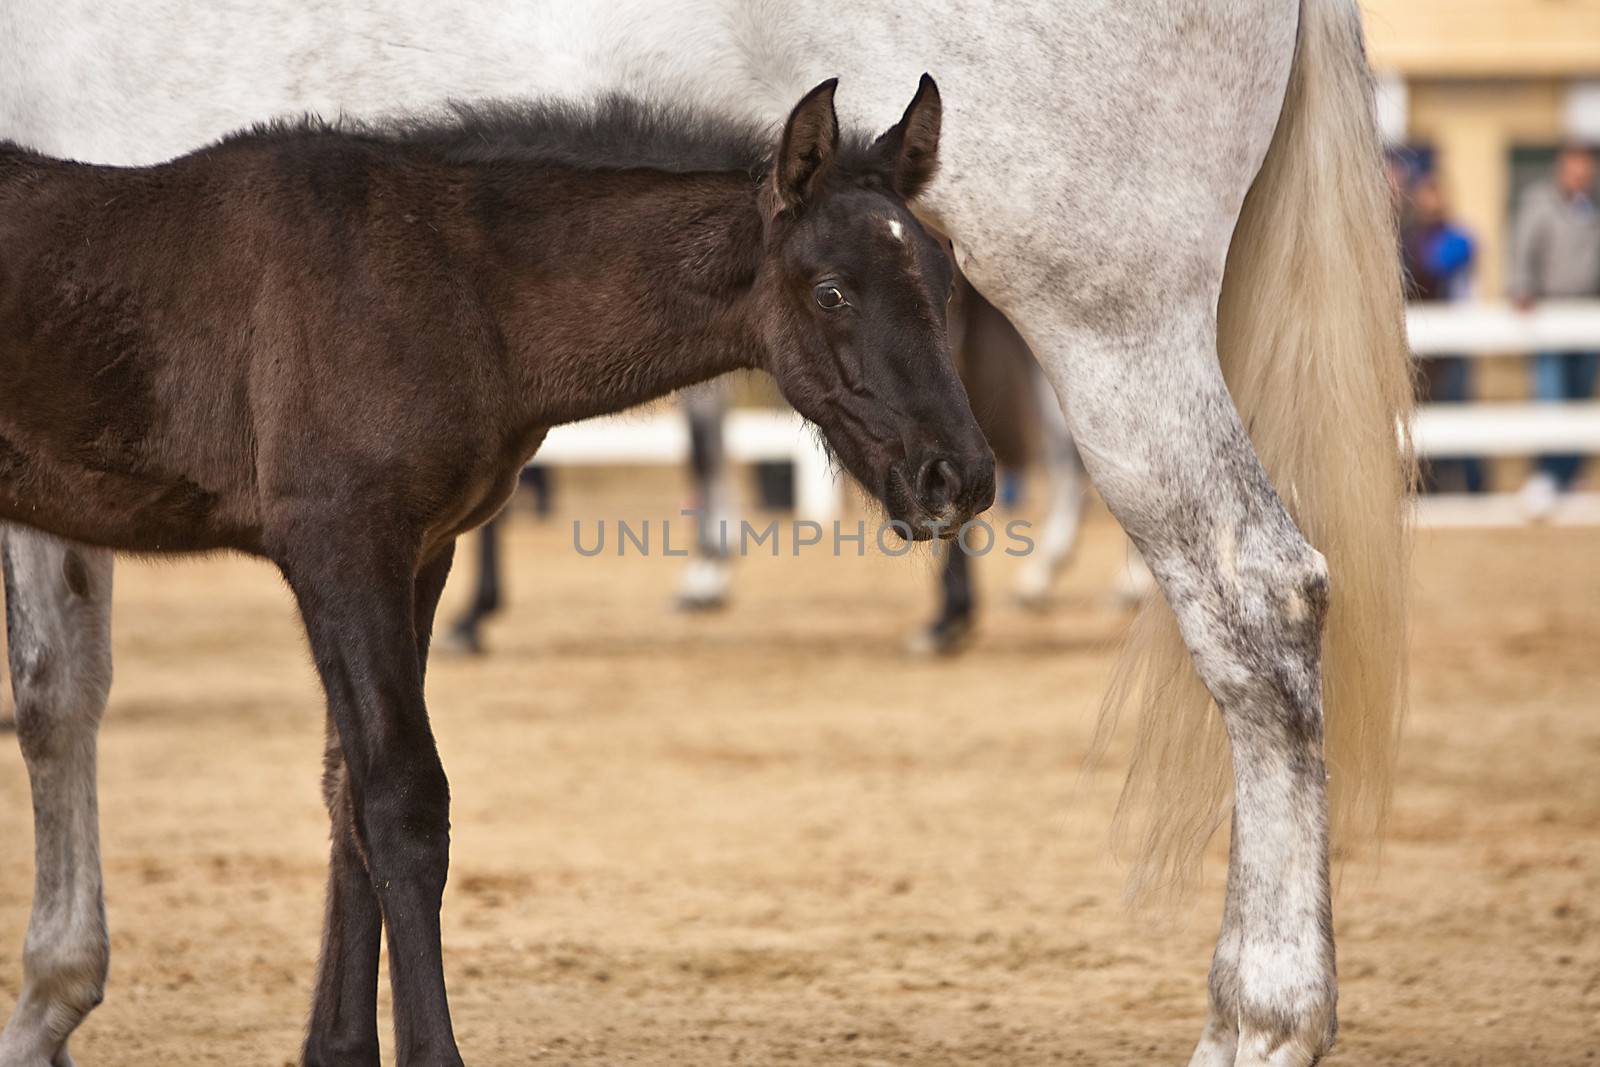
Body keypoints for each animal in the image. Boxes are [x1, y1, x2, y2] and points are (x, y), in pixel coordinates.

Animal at [0, 2, 1408, 1067]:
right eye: (830, 289)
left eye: (939, 279)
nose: (956, 477)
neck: (422, 256)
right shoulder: (357, 545)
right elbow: (365, 786)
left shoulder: (384, 549)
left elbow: (343, 782)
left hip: (1107, 313)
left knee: (1255, 599)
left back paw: (1261, 1016)